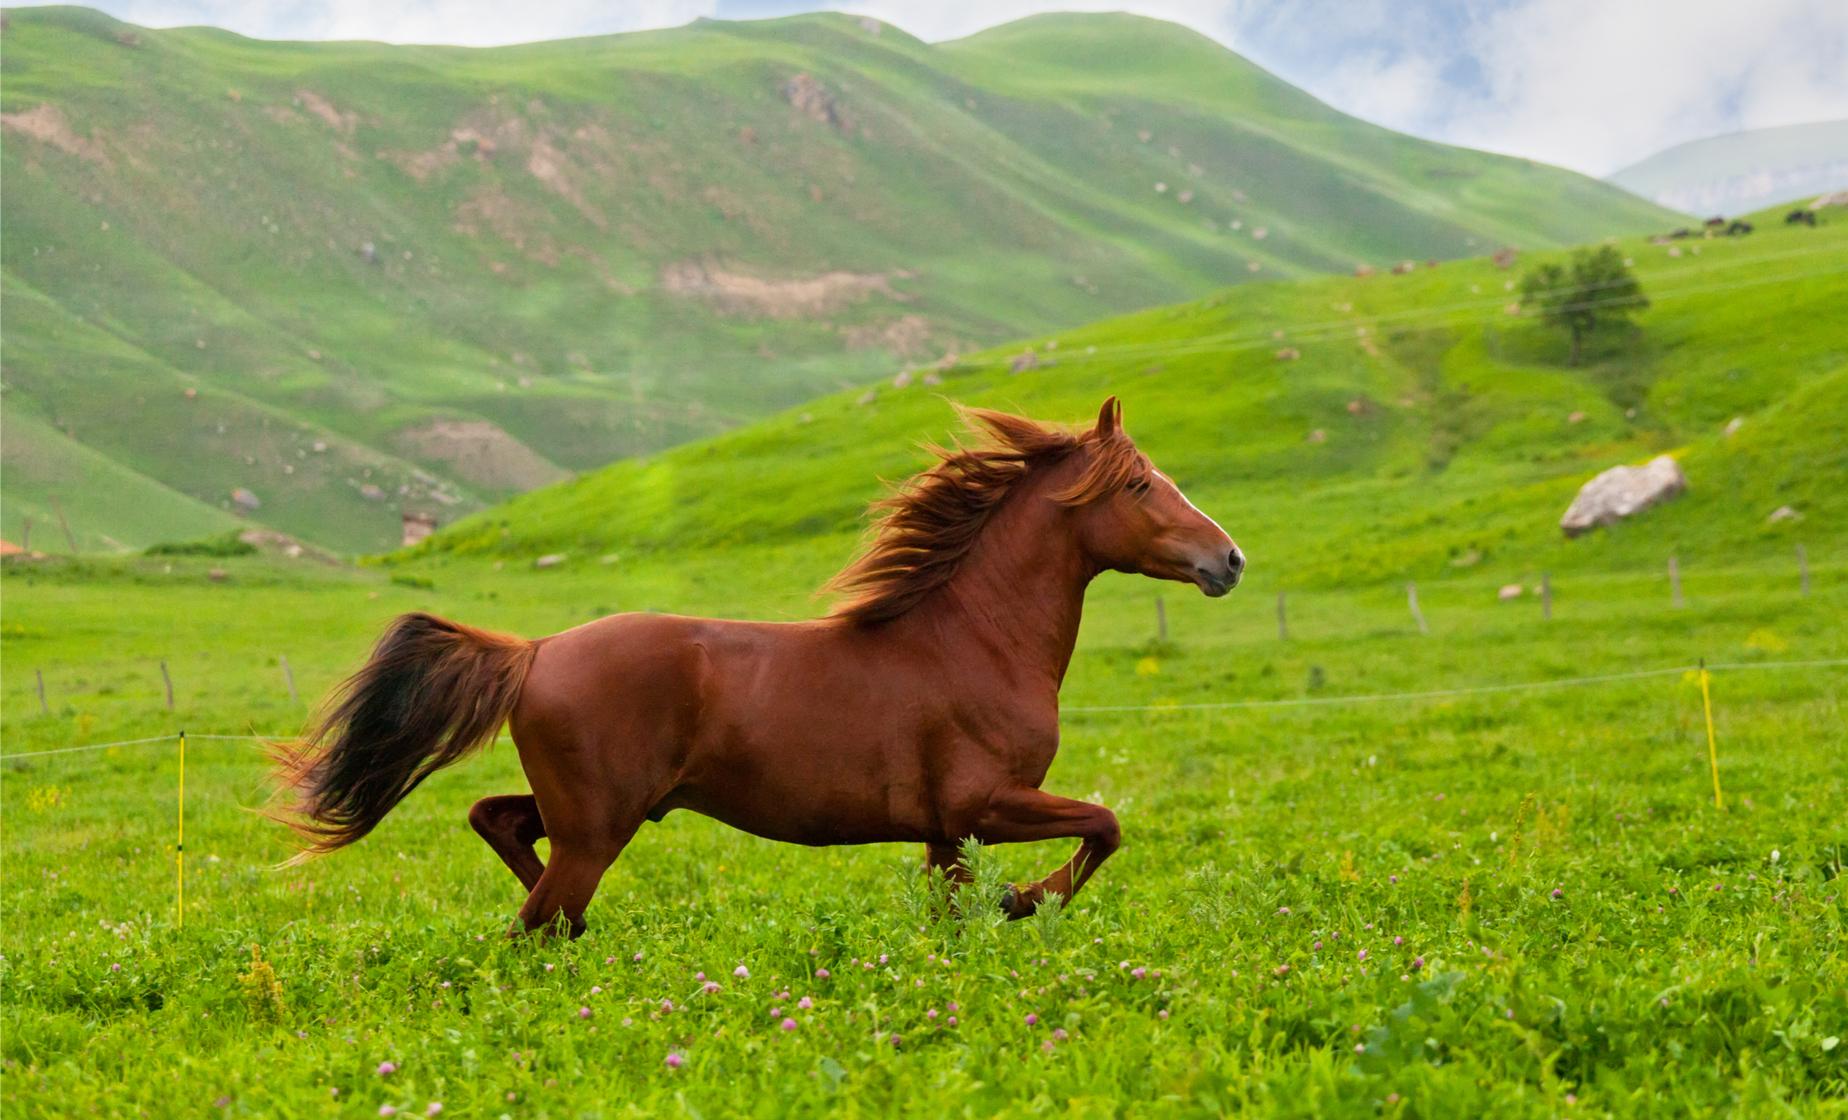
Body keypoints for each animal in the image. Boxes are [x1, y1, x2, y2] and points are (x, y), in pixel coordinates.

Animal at [273, 399, 1249, 935]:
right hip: (598, 827)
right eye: (1141, 485)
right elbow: (1105, 825)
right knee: (530, 925)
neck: (974, 640)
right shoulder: (987, 805)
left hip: (593, 811)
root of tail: (537, 651)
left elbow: (954, 913)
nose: (1229, 560)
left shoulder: (945, 831)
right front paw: (1024, 902)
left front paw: (993, 921)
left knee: (502, 829)